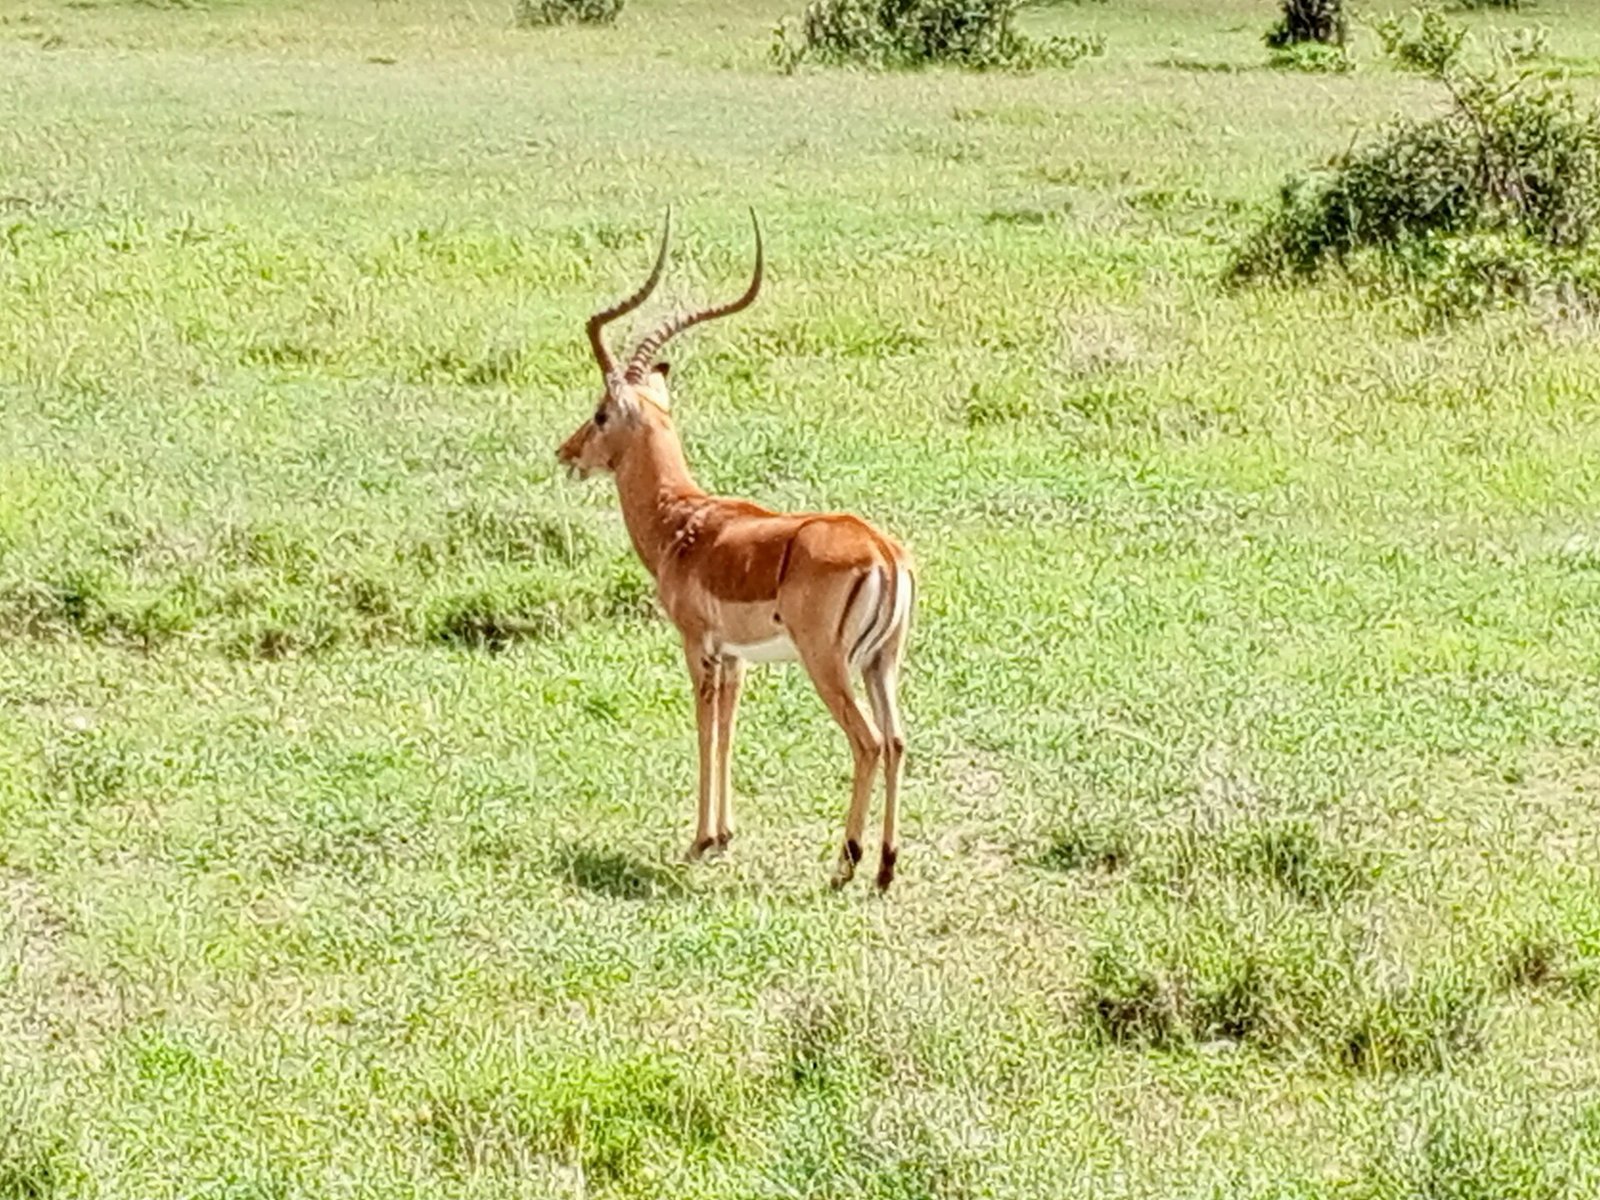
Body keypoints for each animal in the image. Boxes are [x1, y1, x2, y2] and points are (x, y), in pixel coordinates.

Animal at [556, 209, 914, 891]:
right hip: (882, 665)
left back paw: (846, 863)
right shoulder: (736, 659)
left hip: (828, 666)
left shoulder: (697, 644)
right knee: (900, 739)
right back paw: (884, 867)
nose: (566, 453)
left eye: (599, 411)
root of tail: (882, 551)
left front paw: (699, 840)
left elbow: (703, 731)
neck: (685, 522)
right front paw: (722, 836)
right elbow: (727, 732)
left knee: (869, 742)